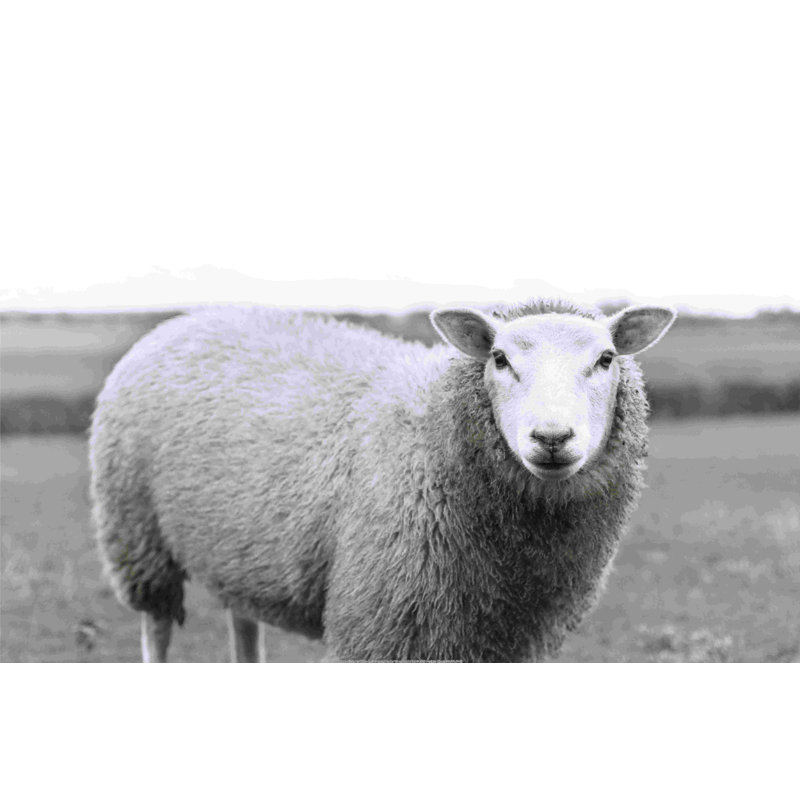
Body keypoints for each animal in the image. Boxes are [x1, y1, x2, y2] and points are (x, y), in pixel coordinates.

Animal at [89, 297, 676, 662]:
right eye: (499, 358)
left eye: (606, 358)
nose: (552, 437)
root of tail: (186, 318)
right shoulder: (381, 622)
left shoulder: (506, 636)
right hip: (137, 535)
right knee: (157, 626)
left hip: (238, 550)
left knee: (242, 624)